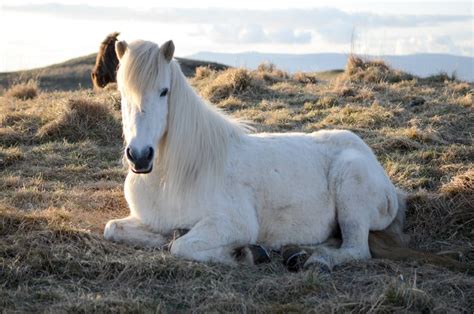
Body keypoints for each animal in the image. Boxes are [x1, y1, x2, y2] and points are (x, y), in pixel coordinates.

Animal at [103, 39, 404, 270]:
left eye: (164, 91)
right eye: (122, 93)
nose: (140, 156)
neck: (173, 176)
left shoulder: (234, 223)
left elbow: (181, 246)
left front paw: (245, 253)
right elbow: (114, 229)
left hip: (350, 187)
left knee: (355, 250)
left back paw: (314, 259)